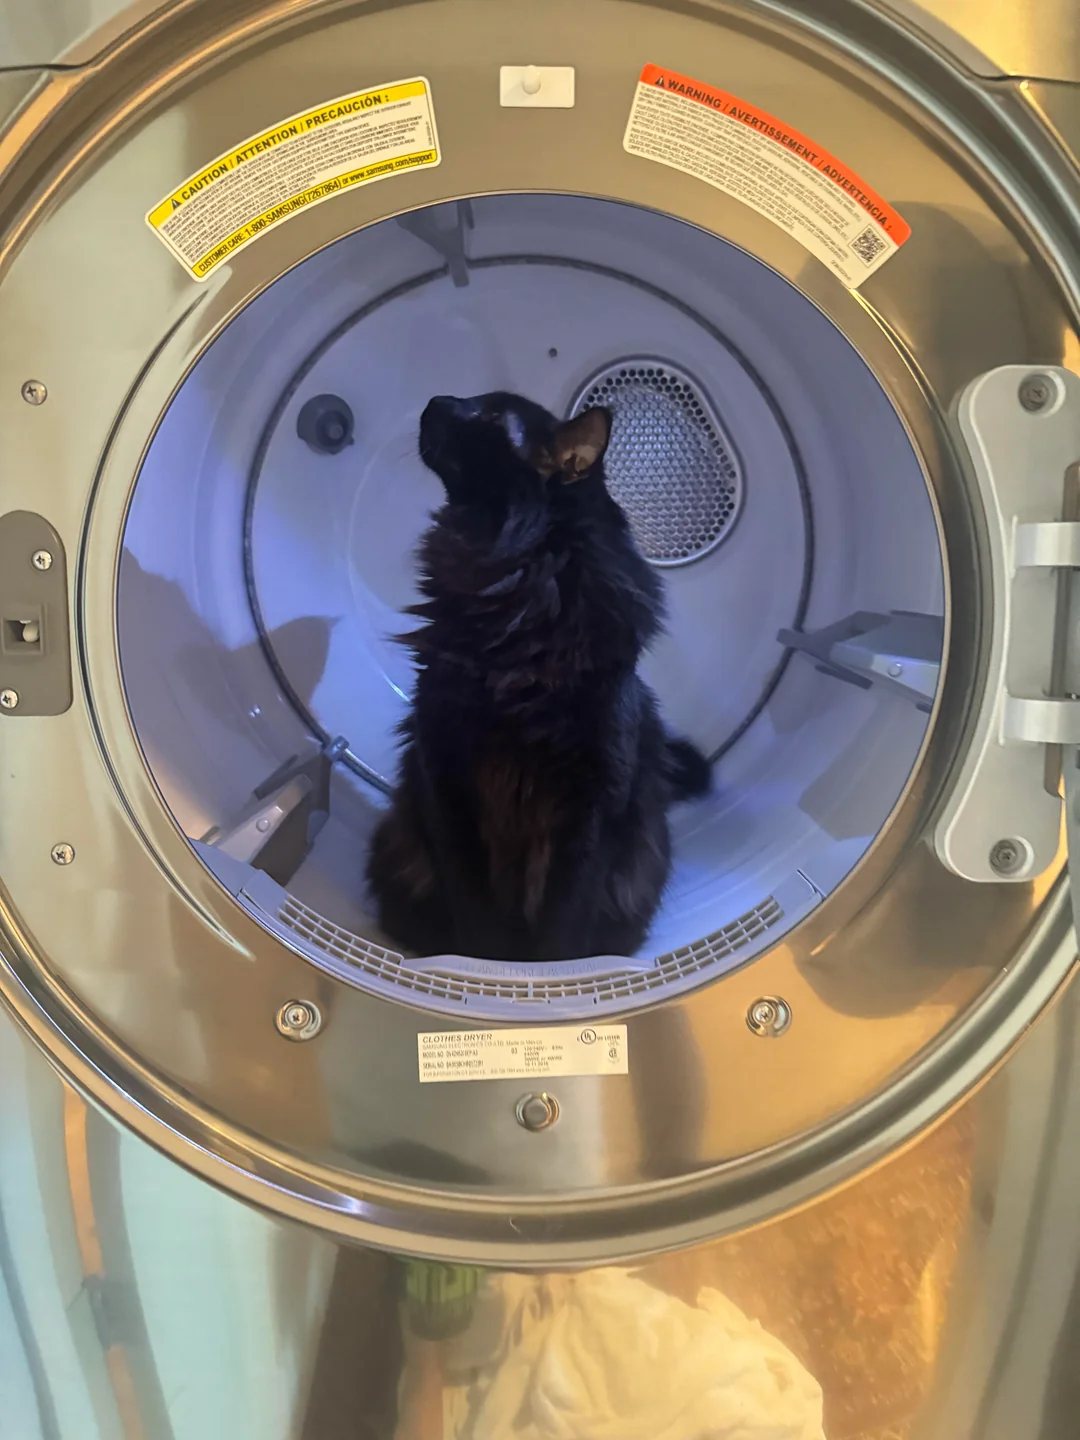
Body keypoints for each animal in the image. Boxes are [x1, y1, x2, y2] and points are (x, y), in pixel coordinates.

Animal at [366, 391, 711, 961]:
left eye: (490, 414)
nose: (436, 400)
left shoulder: (592, 804)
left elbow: (562, 929)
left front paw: (545, 976)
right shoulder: (445, 774)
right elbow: (475, 914)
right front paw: (484, 971)